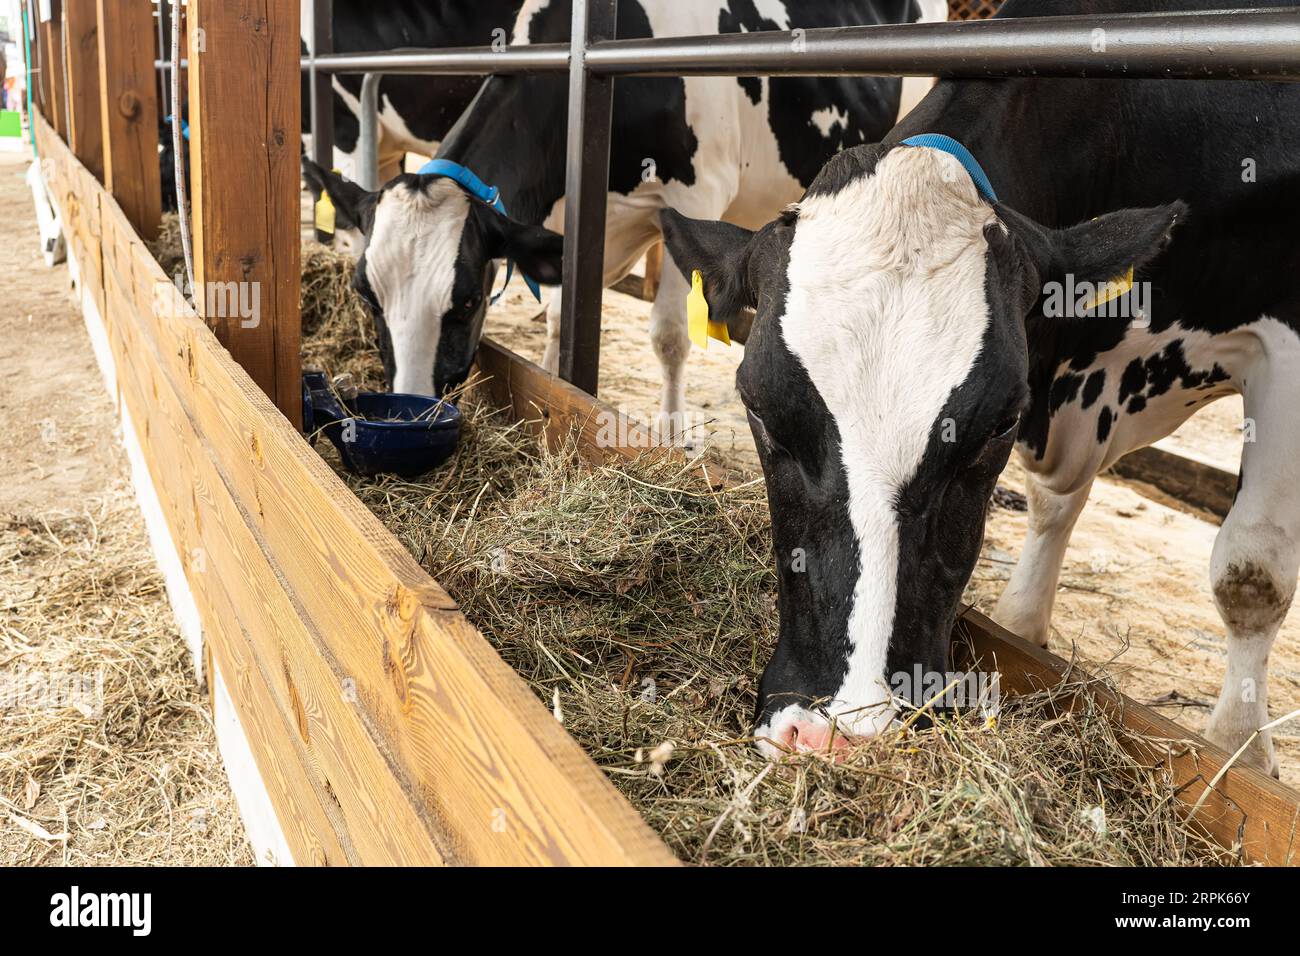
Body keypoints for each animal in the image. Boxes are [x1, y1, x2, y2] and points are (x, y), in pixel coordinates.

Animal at [302, 0, 925, 408]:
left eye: (467, 299)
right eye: (367, 297)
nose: (413, 402)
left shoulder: (692, 196)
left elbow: (670, 337)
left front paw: (673, 443)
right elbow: (559, 317)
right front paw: (550, 384)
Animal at [665, 0, 1294, 780]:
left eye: (999, 422)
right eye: (758, 408)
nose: (843, 733)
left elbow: (1252, 571)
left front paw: (1241, 752)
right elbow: (1059, 500)